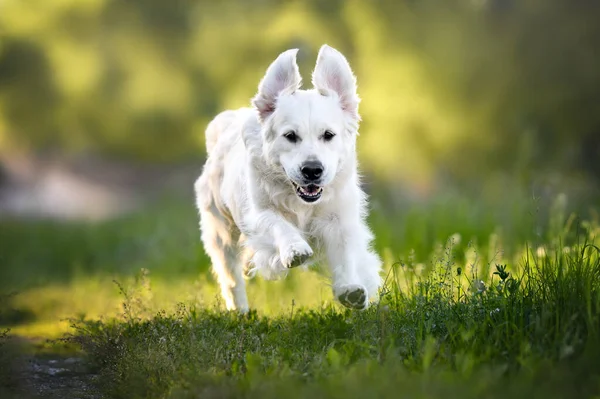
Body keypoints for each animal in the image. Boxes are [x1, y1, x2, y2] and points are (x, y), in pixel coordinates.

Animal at [195, 43, 382, 312]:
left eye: (328, 135)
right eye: (290, 136)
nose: (312, 170)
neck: (302, 201)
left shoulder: (338, 218)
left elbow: (345, 251)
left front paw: (350, 288)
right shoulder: (259, 213)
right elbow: (278, 224)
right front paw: (295, 249)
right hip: (220, 230)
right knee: (230, 276)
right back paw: (239, 311)